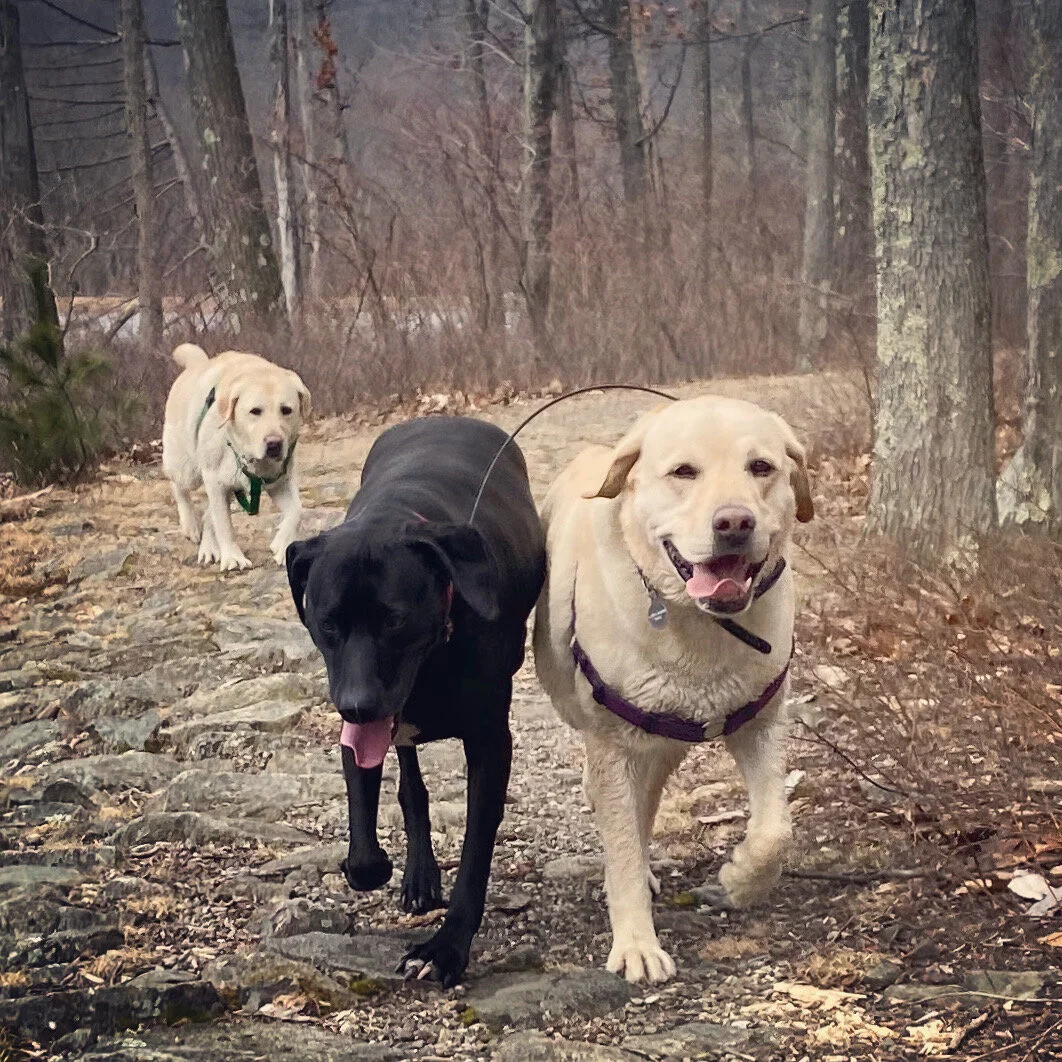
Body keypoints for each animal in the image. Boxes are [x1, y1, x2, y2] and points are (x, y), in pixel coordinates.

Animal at [162, 343, 310, 571]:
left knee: (208, 515)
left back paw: (208, 548)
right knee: (179, 487)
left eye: (286, 410)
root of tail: (197, 364)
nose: (274, 444)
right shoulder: (215, 483)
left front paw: (281, 544)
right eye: (255, 411)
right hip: (187, 468)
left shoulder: (280, 481)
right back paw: (190, 526)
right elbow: (224, 525)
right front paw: (232, 557)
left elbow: (297, 511)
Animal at [286, 416, 545, 987]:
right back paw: (418, 874)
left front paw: (445, 949)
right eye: (327, 623)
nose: (357, 706)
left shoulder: (491, 743)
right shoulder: (356, 729)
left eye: (395, 621)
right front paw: (376, 866)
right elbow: (365, 841)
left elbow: (475, 851)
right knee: (410, 784)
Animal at [533, 395, 814, 983]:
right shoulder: (613, 744)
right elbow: (620, 845)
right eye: (684, 472)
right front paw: (637, 944)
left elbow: (775, 830)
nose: (734, 523)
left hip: (663, 743)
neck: (701, 622)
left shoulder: (759, 724)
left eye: (761, 467)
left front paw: (740, 880)